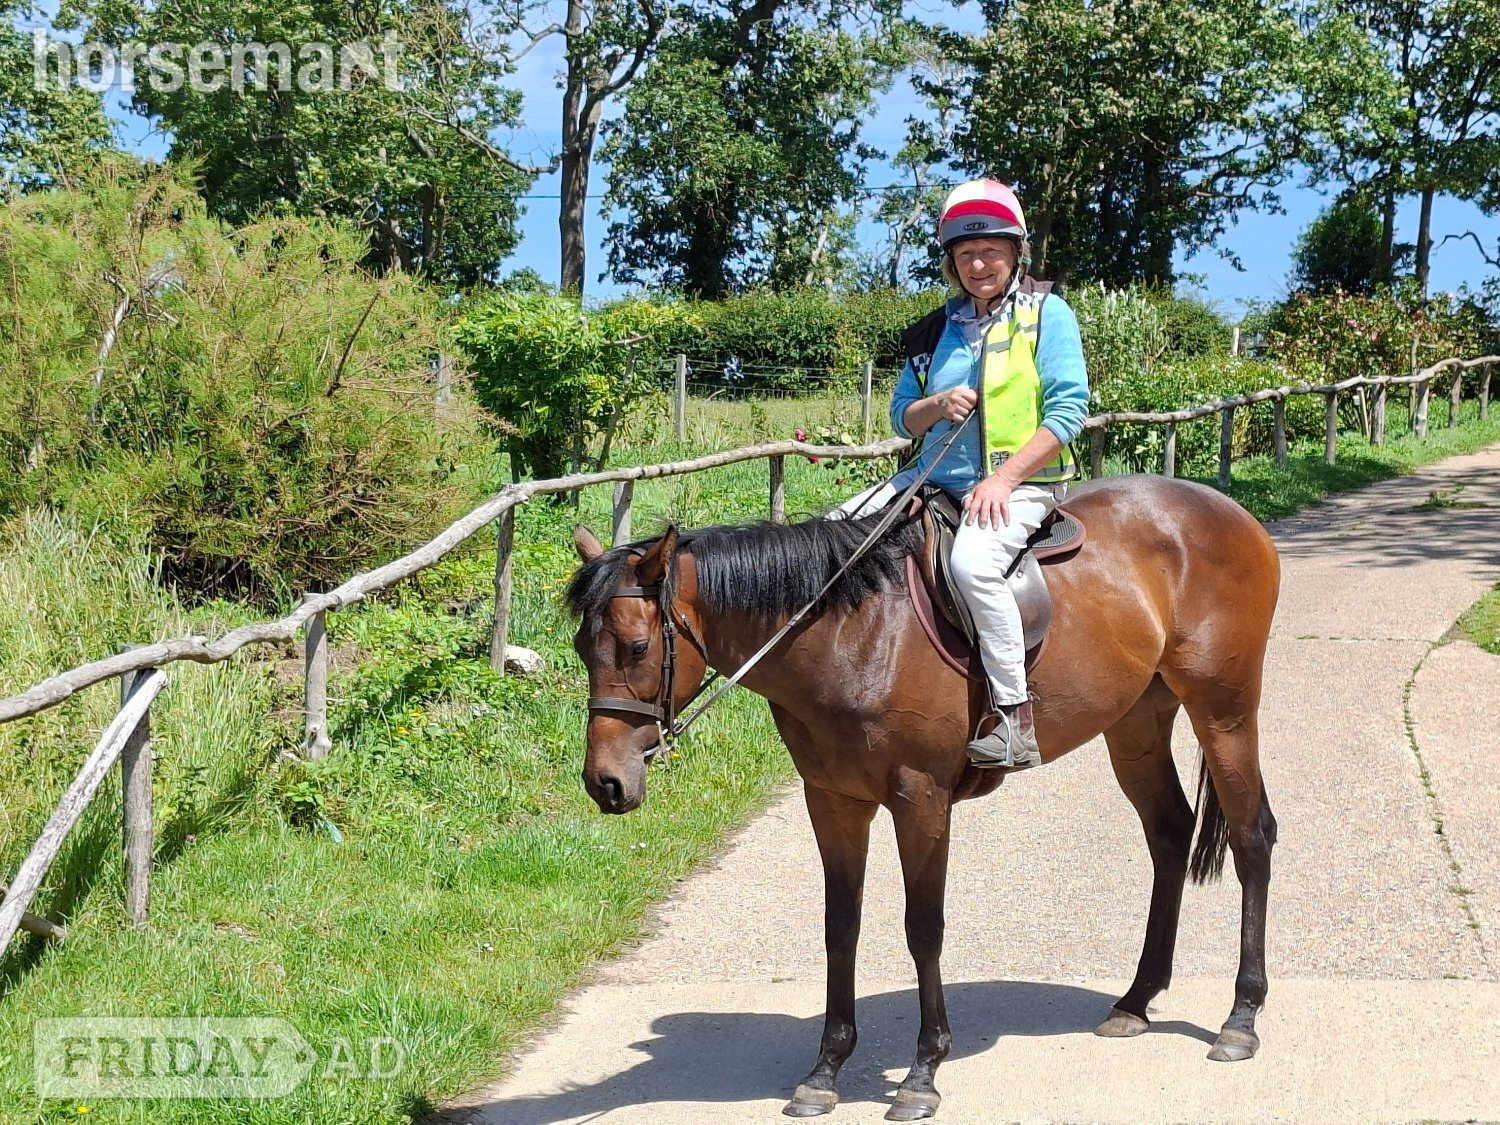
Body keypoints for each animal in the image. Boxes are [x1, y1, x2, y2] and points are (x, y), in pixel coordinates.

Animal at [566, 473, 1280, 1121]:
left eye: (635, 647)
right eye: (580, 647)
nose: (606, 782)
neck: (851, 634)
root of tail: (1226, 509)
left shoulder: (921, 800)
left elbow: (923, 928)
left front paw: (922, 1071)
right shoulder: (832, 799)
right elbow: (840, 926)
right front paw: (825, 1069)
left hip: (1224, 712)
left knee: (1252, 838)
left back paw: (1240, 1018)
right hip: (1135, 722)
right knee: (1170, 832)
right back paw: (1136, 1000)